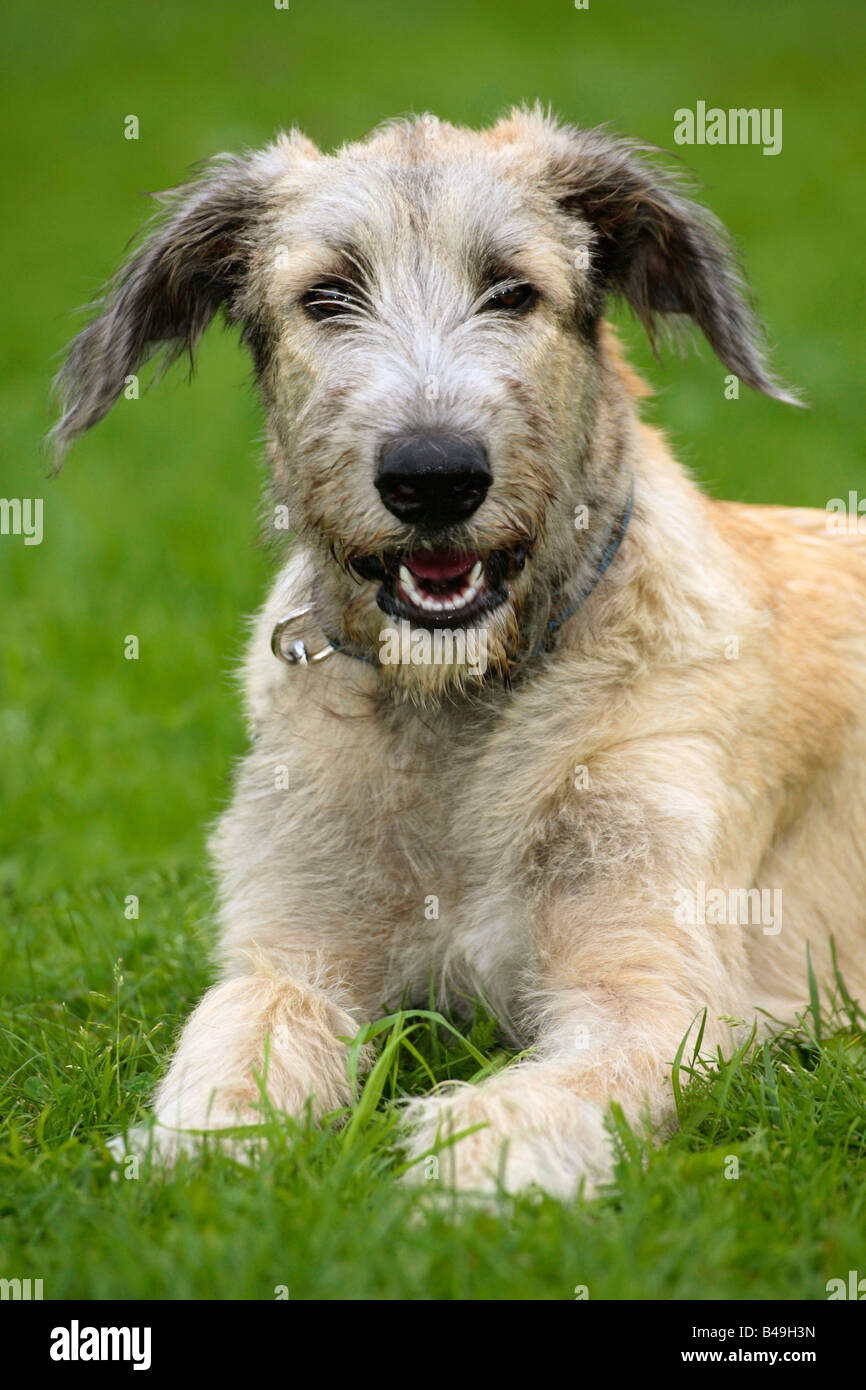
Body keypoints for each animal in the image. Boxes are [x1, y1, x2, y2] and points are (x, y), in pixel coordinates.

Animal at [50, 105, 866, 1195]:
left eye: (512, 290)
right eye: (327, 294)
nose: (432, 476)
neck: (459, 707)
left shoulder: (656, 988)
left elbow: (582, 1071)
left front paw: (467, 1160)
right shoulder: (295, 942)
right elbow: (243, 1024)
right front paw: (199, 1146)